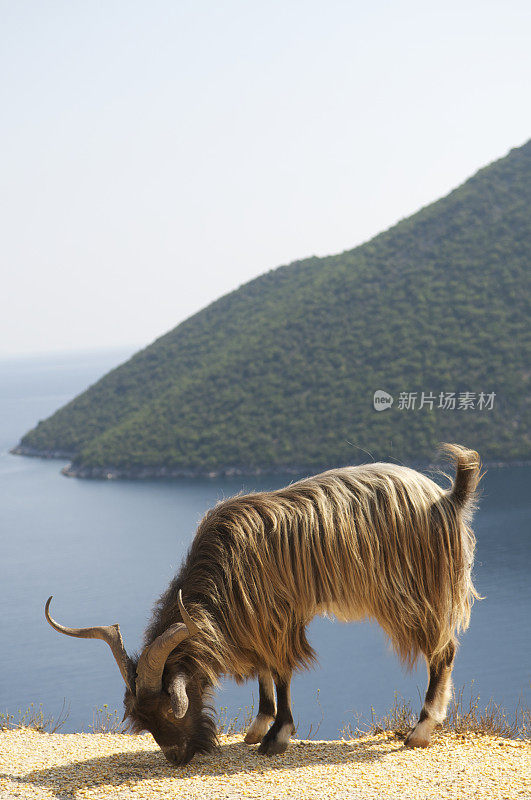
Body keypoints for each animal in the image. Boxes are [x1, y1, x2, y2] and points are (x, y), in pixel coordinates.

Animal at [44, 444, 482, 764]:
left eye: (170, 710)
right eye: (140, 718)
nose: (178, 757)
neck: (224, 563)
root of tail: (448, 497)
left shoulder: (277, 618)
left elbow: (281, 670)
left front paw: (277, 736)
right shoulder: (249, 618)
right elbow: (263, 671)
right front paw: (258, 725)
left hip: (417, 593)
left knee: (443, 652)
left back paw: (421, 730)